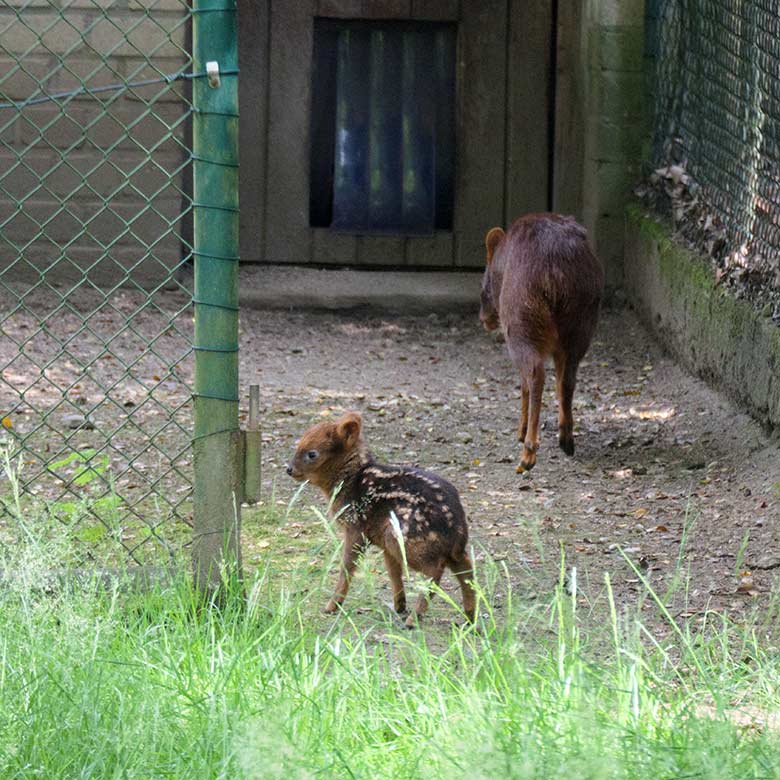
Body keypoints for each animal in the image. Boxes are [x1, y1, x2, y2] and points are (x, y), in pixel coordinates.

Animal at [478, 210, 608, 472]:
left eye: (482, 286)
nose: (483, 317)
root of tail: (555, 275)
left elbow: (524, 384)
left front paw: (520, 431)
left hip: (521, 321)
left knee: (535, 375)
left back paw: (528, 451)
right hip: (581, 323)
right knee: (567, 379)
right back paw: (566, 438)